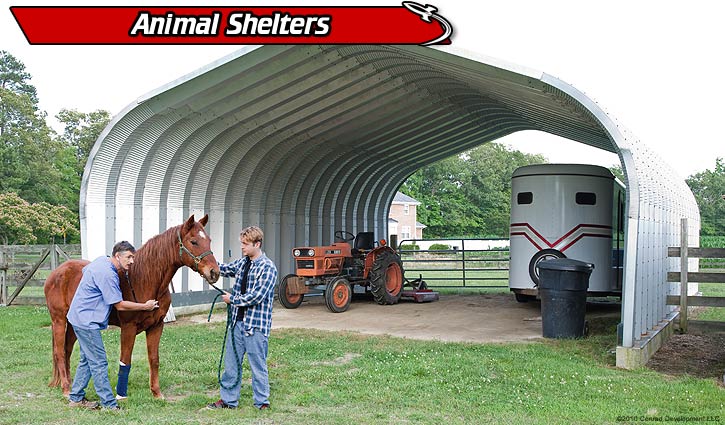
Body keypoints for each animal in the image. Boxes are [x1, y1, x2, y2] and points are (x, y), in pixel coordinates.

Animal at [44, 215, 219, 398]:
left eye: (209, 240)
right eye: (193, 241)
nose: (214, 272)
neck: (142, 280)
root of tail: (56, 273)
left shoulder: (156, 326)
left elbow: (154, 359)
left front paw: (157, 393)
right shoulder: (128, 328)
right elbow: (125, 360)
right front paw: (121, 394)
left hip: (73, 324)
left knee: (67, 349)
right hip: (59, 320)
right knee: (59, 352)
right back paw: (65, 388)